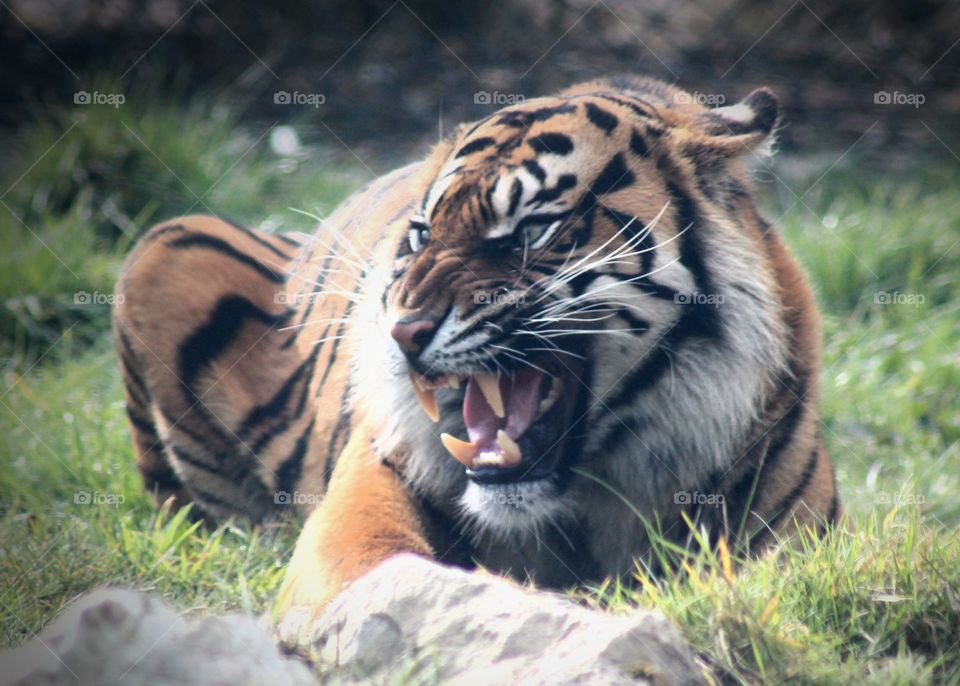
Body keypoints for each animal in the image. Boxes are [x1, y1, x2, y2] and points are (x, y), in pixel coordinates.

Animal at [112, 76, 841, 628]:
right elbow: (393, 579)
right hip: (164, 242)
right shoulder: (358, 507)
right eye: (420, 236)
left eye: (531, 230)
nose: (403, 331)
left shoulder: (792, 545)